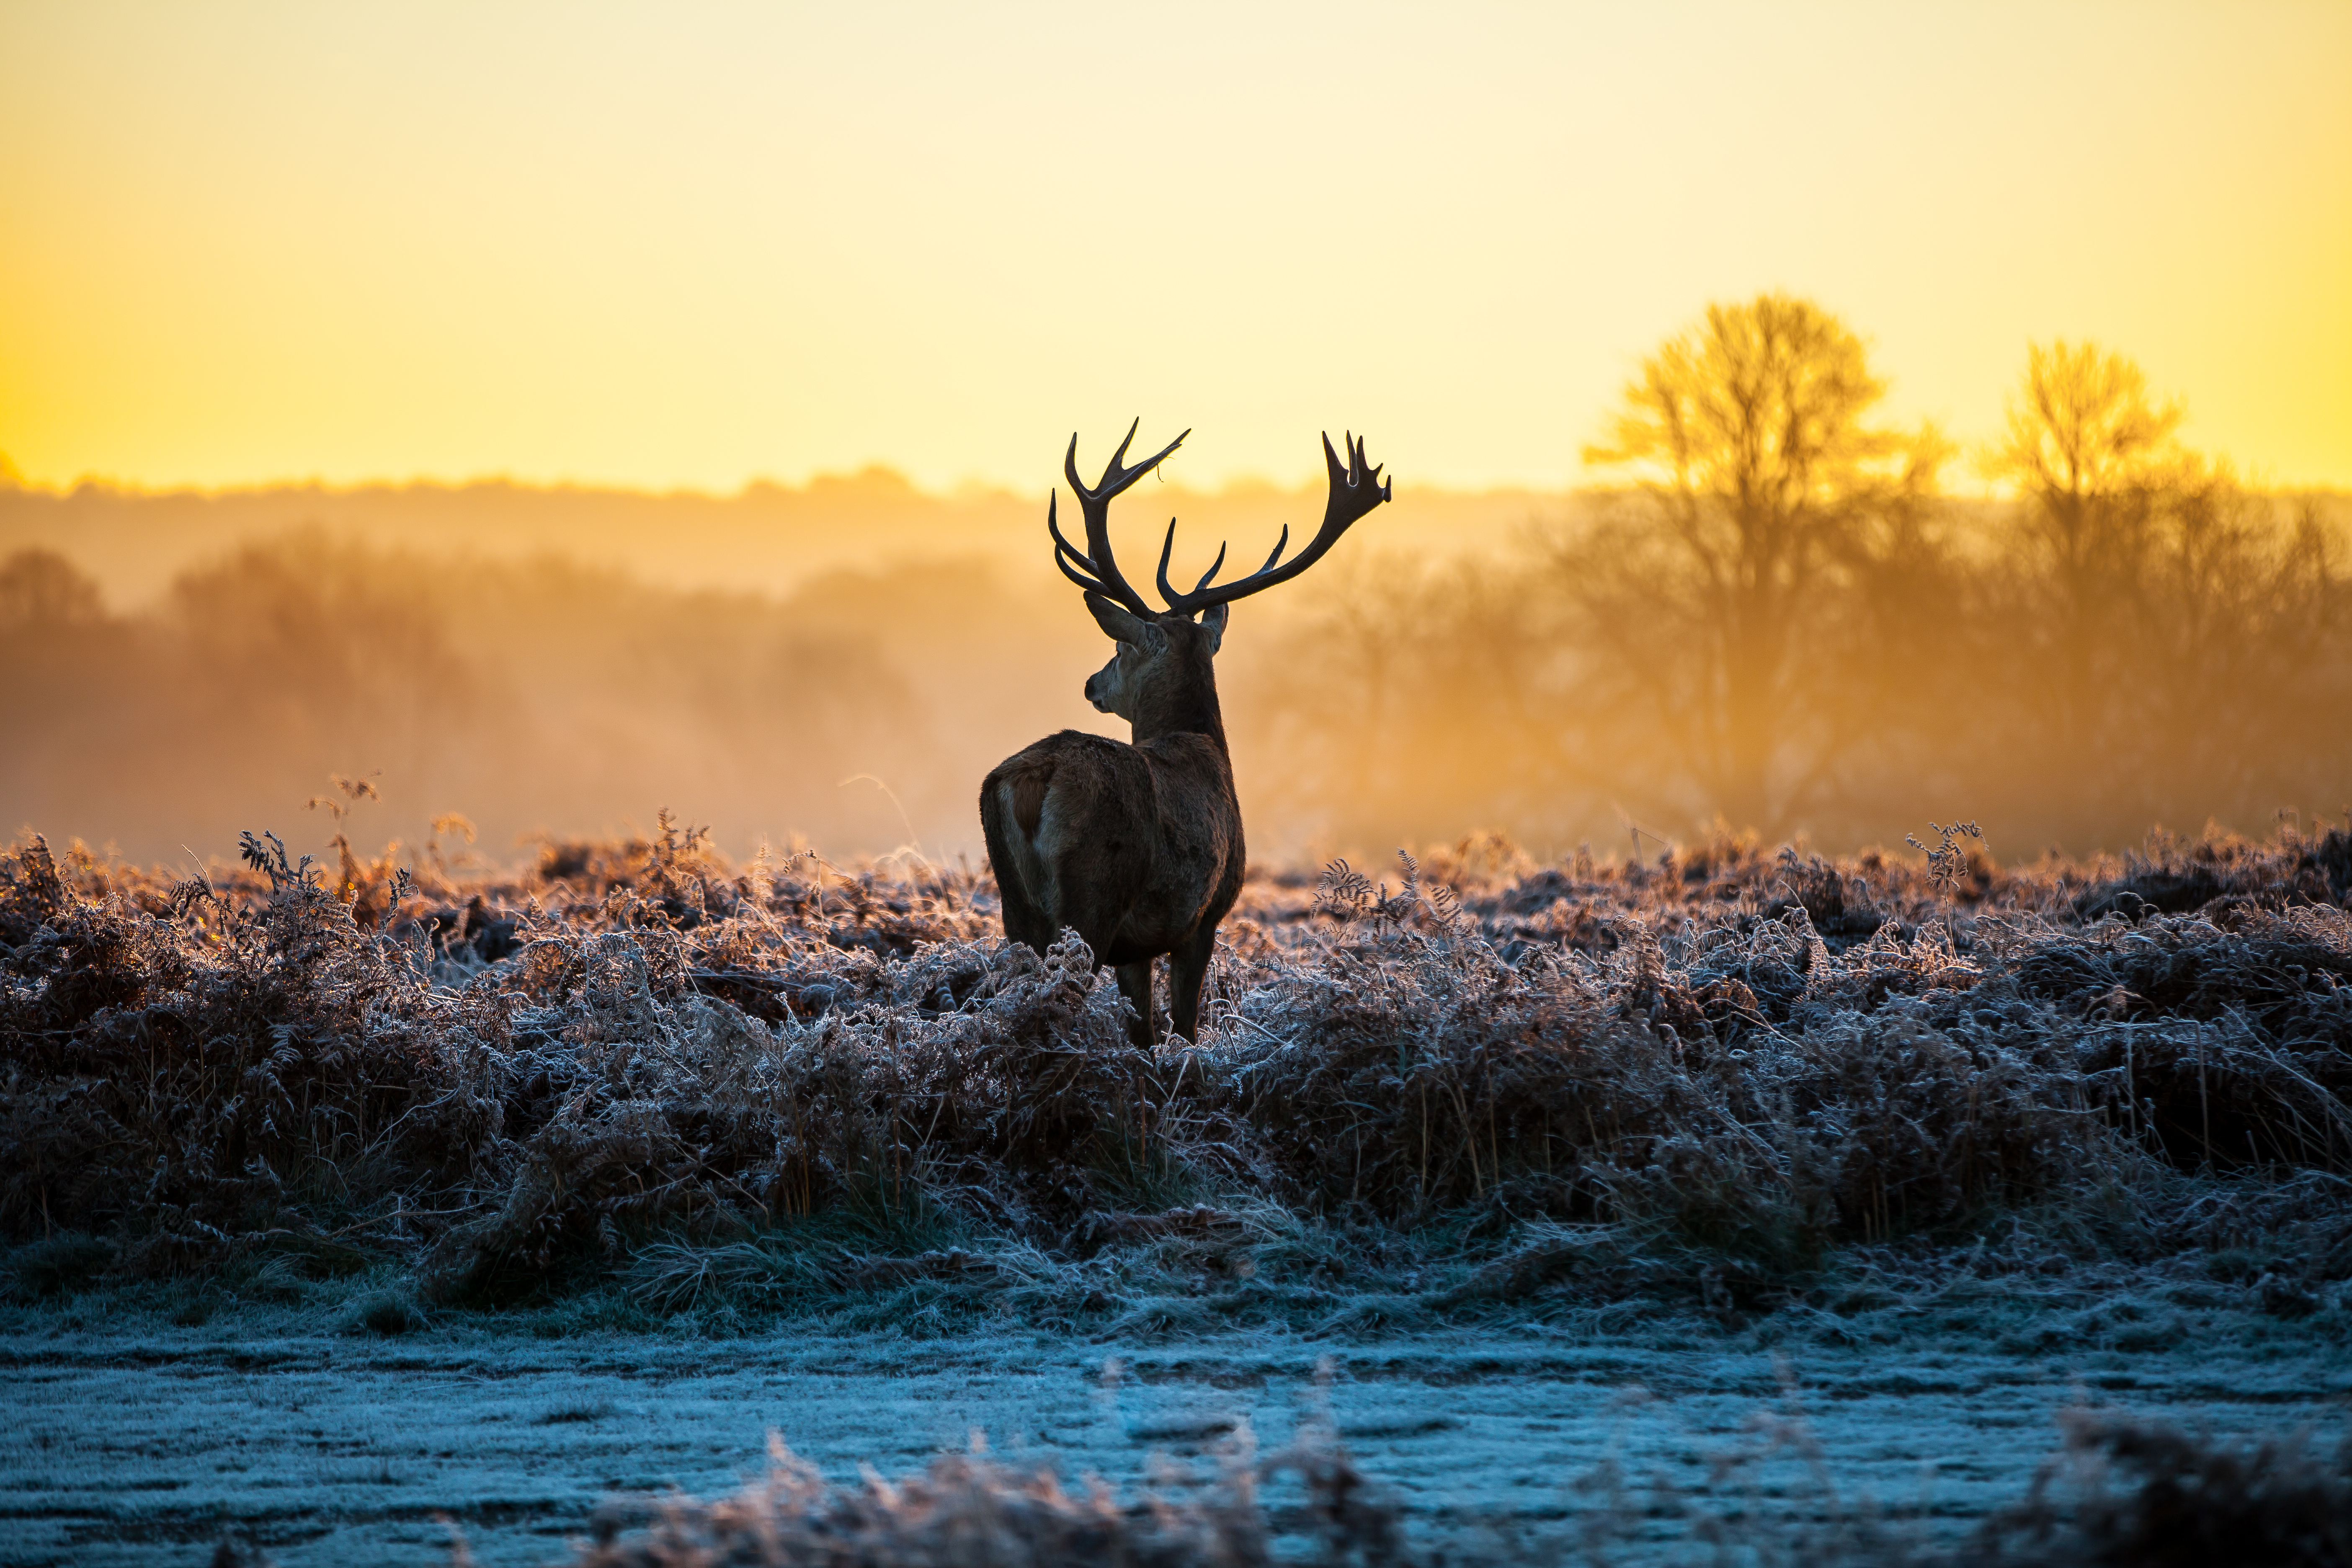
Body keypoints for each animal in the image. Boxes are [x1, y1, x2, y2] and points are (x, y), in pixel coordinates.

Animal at [978, 423, 1383, 1048]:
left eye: (1119, 648)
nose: (1092, 683)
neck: (1202, 743)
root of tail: (1032, 781)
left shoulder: (1140, 946)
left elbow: (1143, 1030)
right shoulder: (1203, 916)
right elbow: (1185, 1027)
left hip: (1016, 908)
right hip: (1093, 897)